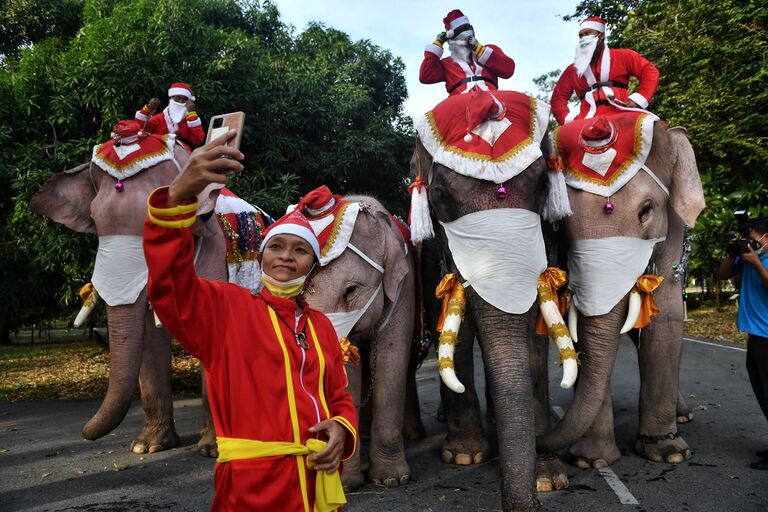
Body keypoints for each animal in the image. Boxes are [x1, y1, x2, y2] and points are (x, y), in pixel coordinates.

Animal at [30, 128, 264, 456]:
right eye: (95, 220)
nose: (83, 433)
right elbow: (147, 338)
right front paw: (146, 447)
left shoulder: (214, 256)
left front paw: (213, 450)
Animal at [294, 188, 424, 488]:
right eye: (301, 293)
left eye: (351, 290)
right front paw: (345, 481)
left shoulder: (404, 285)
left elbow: (391, 356)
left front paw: (392, 481)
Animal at [536, 114, 704, 470]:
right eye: (562, 226)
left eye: (646, 211)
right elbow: (583, 326)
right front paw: (590, 460)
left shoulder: (672, 229)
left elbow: (666, 316)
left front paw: (669, 452)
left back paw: (683, 417)